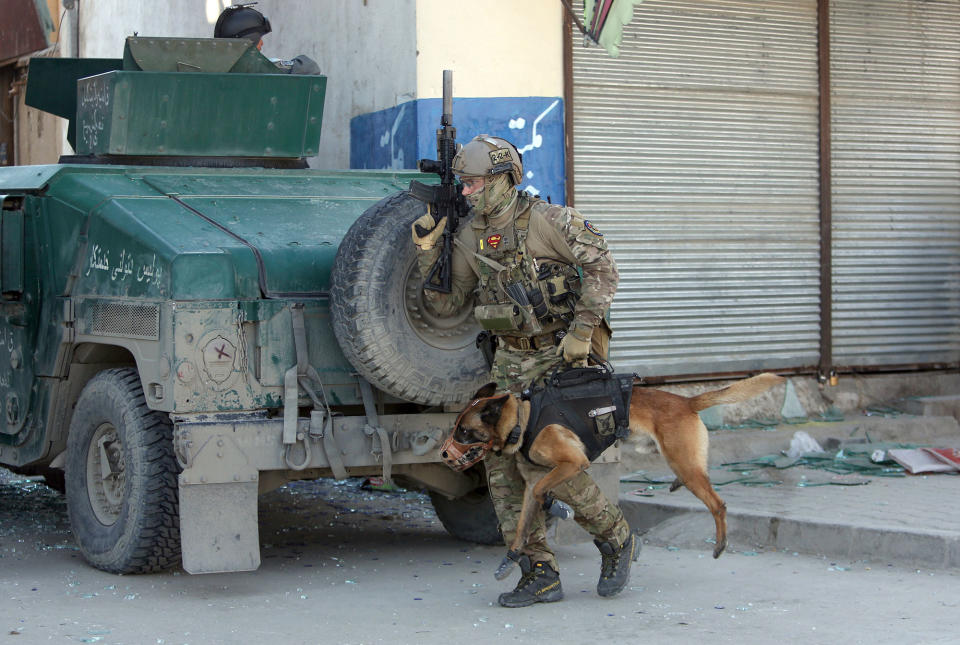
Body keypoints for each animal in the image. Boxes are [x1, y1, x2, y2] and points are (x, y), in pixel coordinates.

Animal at [446, 372, 784, 580]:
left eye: (464, 431)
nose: (443, 454)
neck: (523, 420)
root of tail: (687, 401)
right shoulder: (530, 485)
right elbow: (522, 524)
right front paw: (514, 554)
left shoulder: (573, 463)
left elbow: (544, 489)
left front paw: (556, 506)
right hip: (684, 463)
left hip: (685, 466)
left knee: (718, 504)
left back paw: (721, 543)